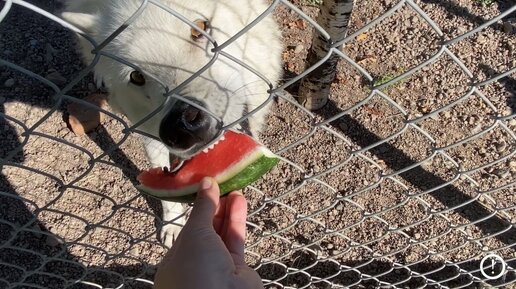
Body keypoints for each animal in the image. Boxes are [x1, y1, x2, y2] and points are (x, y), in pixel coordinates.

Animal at [62, 0, 284, 248]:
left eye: (199, 29)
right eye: (137, 77)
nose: (182, 126)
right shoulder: (148, 129)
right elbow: (166, 192)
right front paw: (173, 225)